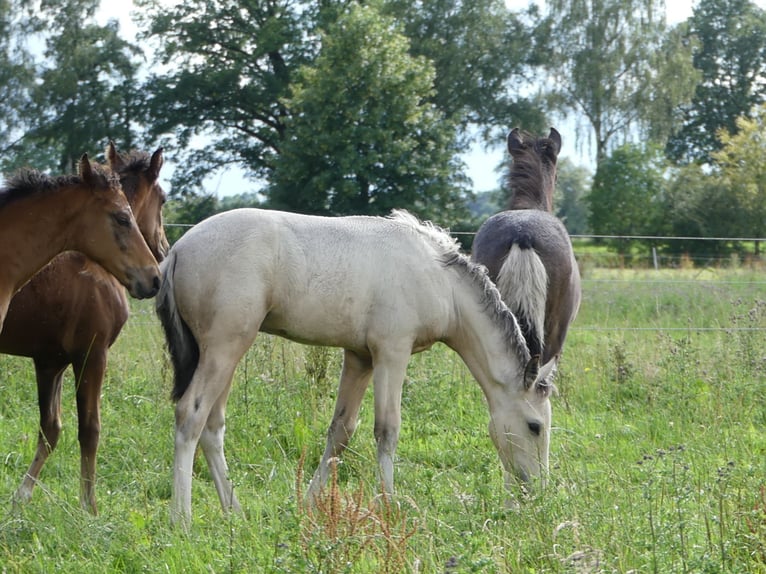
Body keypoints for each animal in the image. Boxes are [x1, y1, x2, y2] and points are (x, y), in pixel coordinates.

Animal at [156, 208, 556, 532]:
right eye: (535, 426)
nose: (537, 491)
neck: (439, 278)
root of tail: (178, 250)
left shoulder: (359, 357)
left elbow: (341, 431)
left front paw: (307, 505)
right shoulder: (392, 353)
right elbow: (387, 430)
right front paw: (390, 506)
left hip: (223, 353)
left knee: (212, 427)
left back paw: (234, 512)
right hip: (225, 347)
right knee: (190, 415)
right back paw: (181, 519)